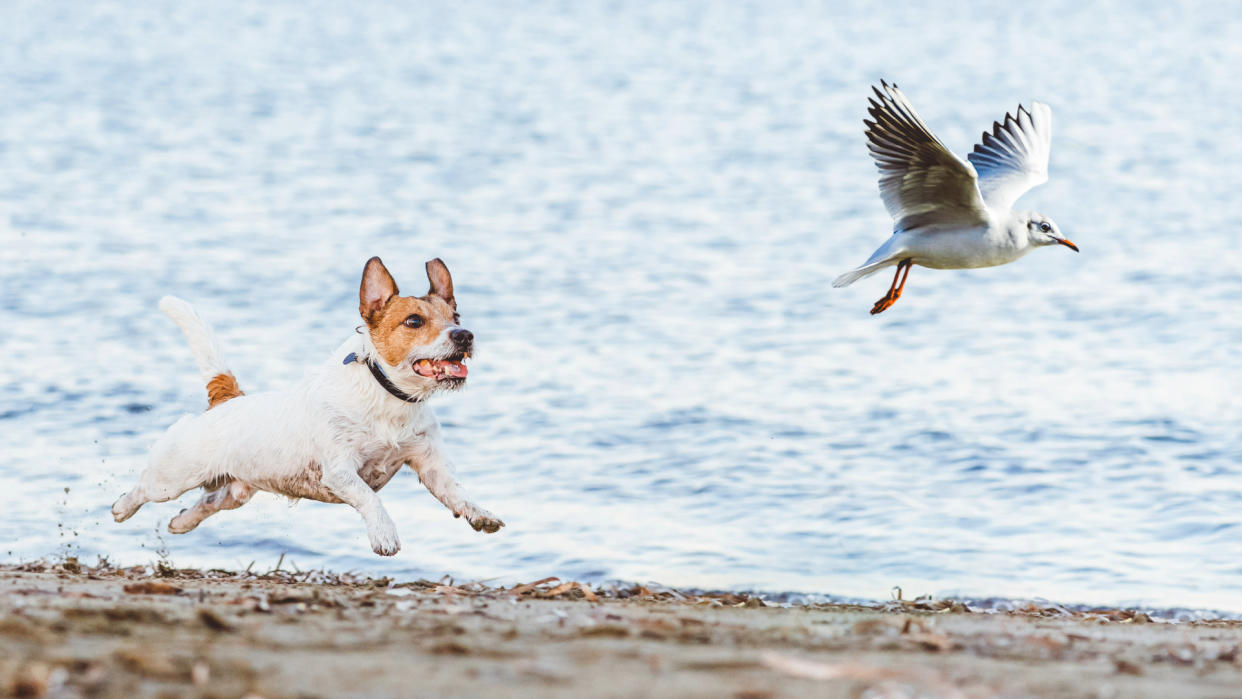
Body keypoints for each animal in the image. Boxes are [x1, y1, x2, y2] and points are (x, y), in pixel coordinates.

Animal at [113, 257, 504, 558]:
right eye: (414, 321)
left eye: (456, 316)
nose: (465, 335)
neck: (389, 397)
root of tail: (226, 400)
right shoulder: (341, 471)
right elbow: (369, 499)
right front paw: (385, 534)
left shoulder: (430, 464)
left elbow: (456, 492)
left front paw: (479, 513)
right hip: (172, 477)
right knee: (144, 489)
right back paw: (120, 508)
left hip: (236, 491)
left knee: (208, 503)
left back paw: (181, 522)